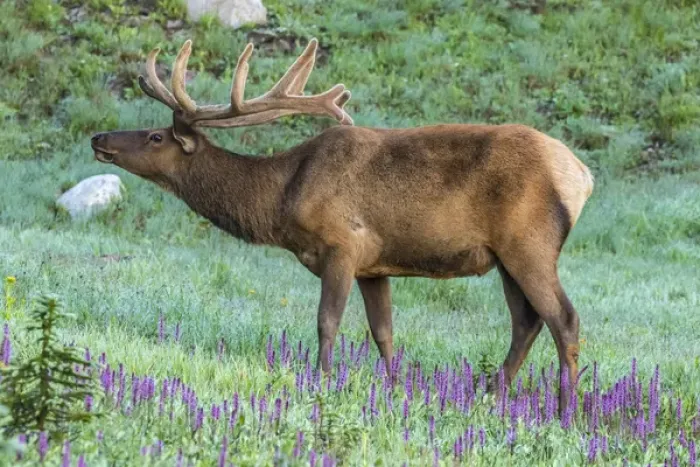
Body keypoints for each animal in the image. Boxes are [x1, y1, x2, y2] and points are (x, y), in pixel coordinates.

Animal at [91, 38, 594, 410]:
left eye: (156, 136)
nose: (98, 137)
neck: (282, 197)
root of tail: (581, 175)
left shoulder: (343, 245)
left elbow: (327, 321)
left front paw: (322, 381)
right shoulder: (375, 265)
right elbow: (384, 332)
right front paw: (394, 390)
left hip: (529, 242)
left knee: (564, 318)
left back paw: (567, 408)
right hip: (505, 256)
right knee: (526, 321)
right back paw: (490, 394)